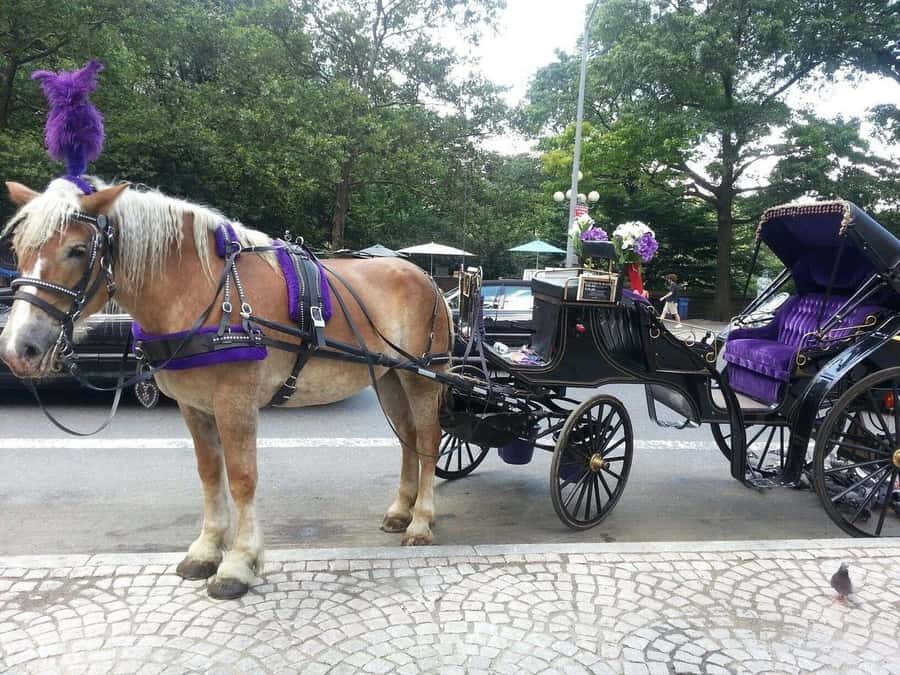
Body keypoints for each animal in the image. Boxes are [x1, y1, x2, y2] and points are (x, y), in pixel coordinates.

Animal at [0, 177, 453, 600]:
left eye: (77, 250)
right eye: (18, 249)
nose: (19, 347)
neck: (202, 291)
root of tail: (426, 277)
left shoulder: (235, 402)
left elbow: (241, 477)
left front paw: (238, 563)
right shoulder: (193, 406)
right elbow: (209, 474)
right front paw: (206, 549)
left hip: (423, 377)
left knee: (428, 439)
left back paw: (421, 520)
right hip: (390, 377)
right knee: (408, 439)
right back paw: (401, 510)